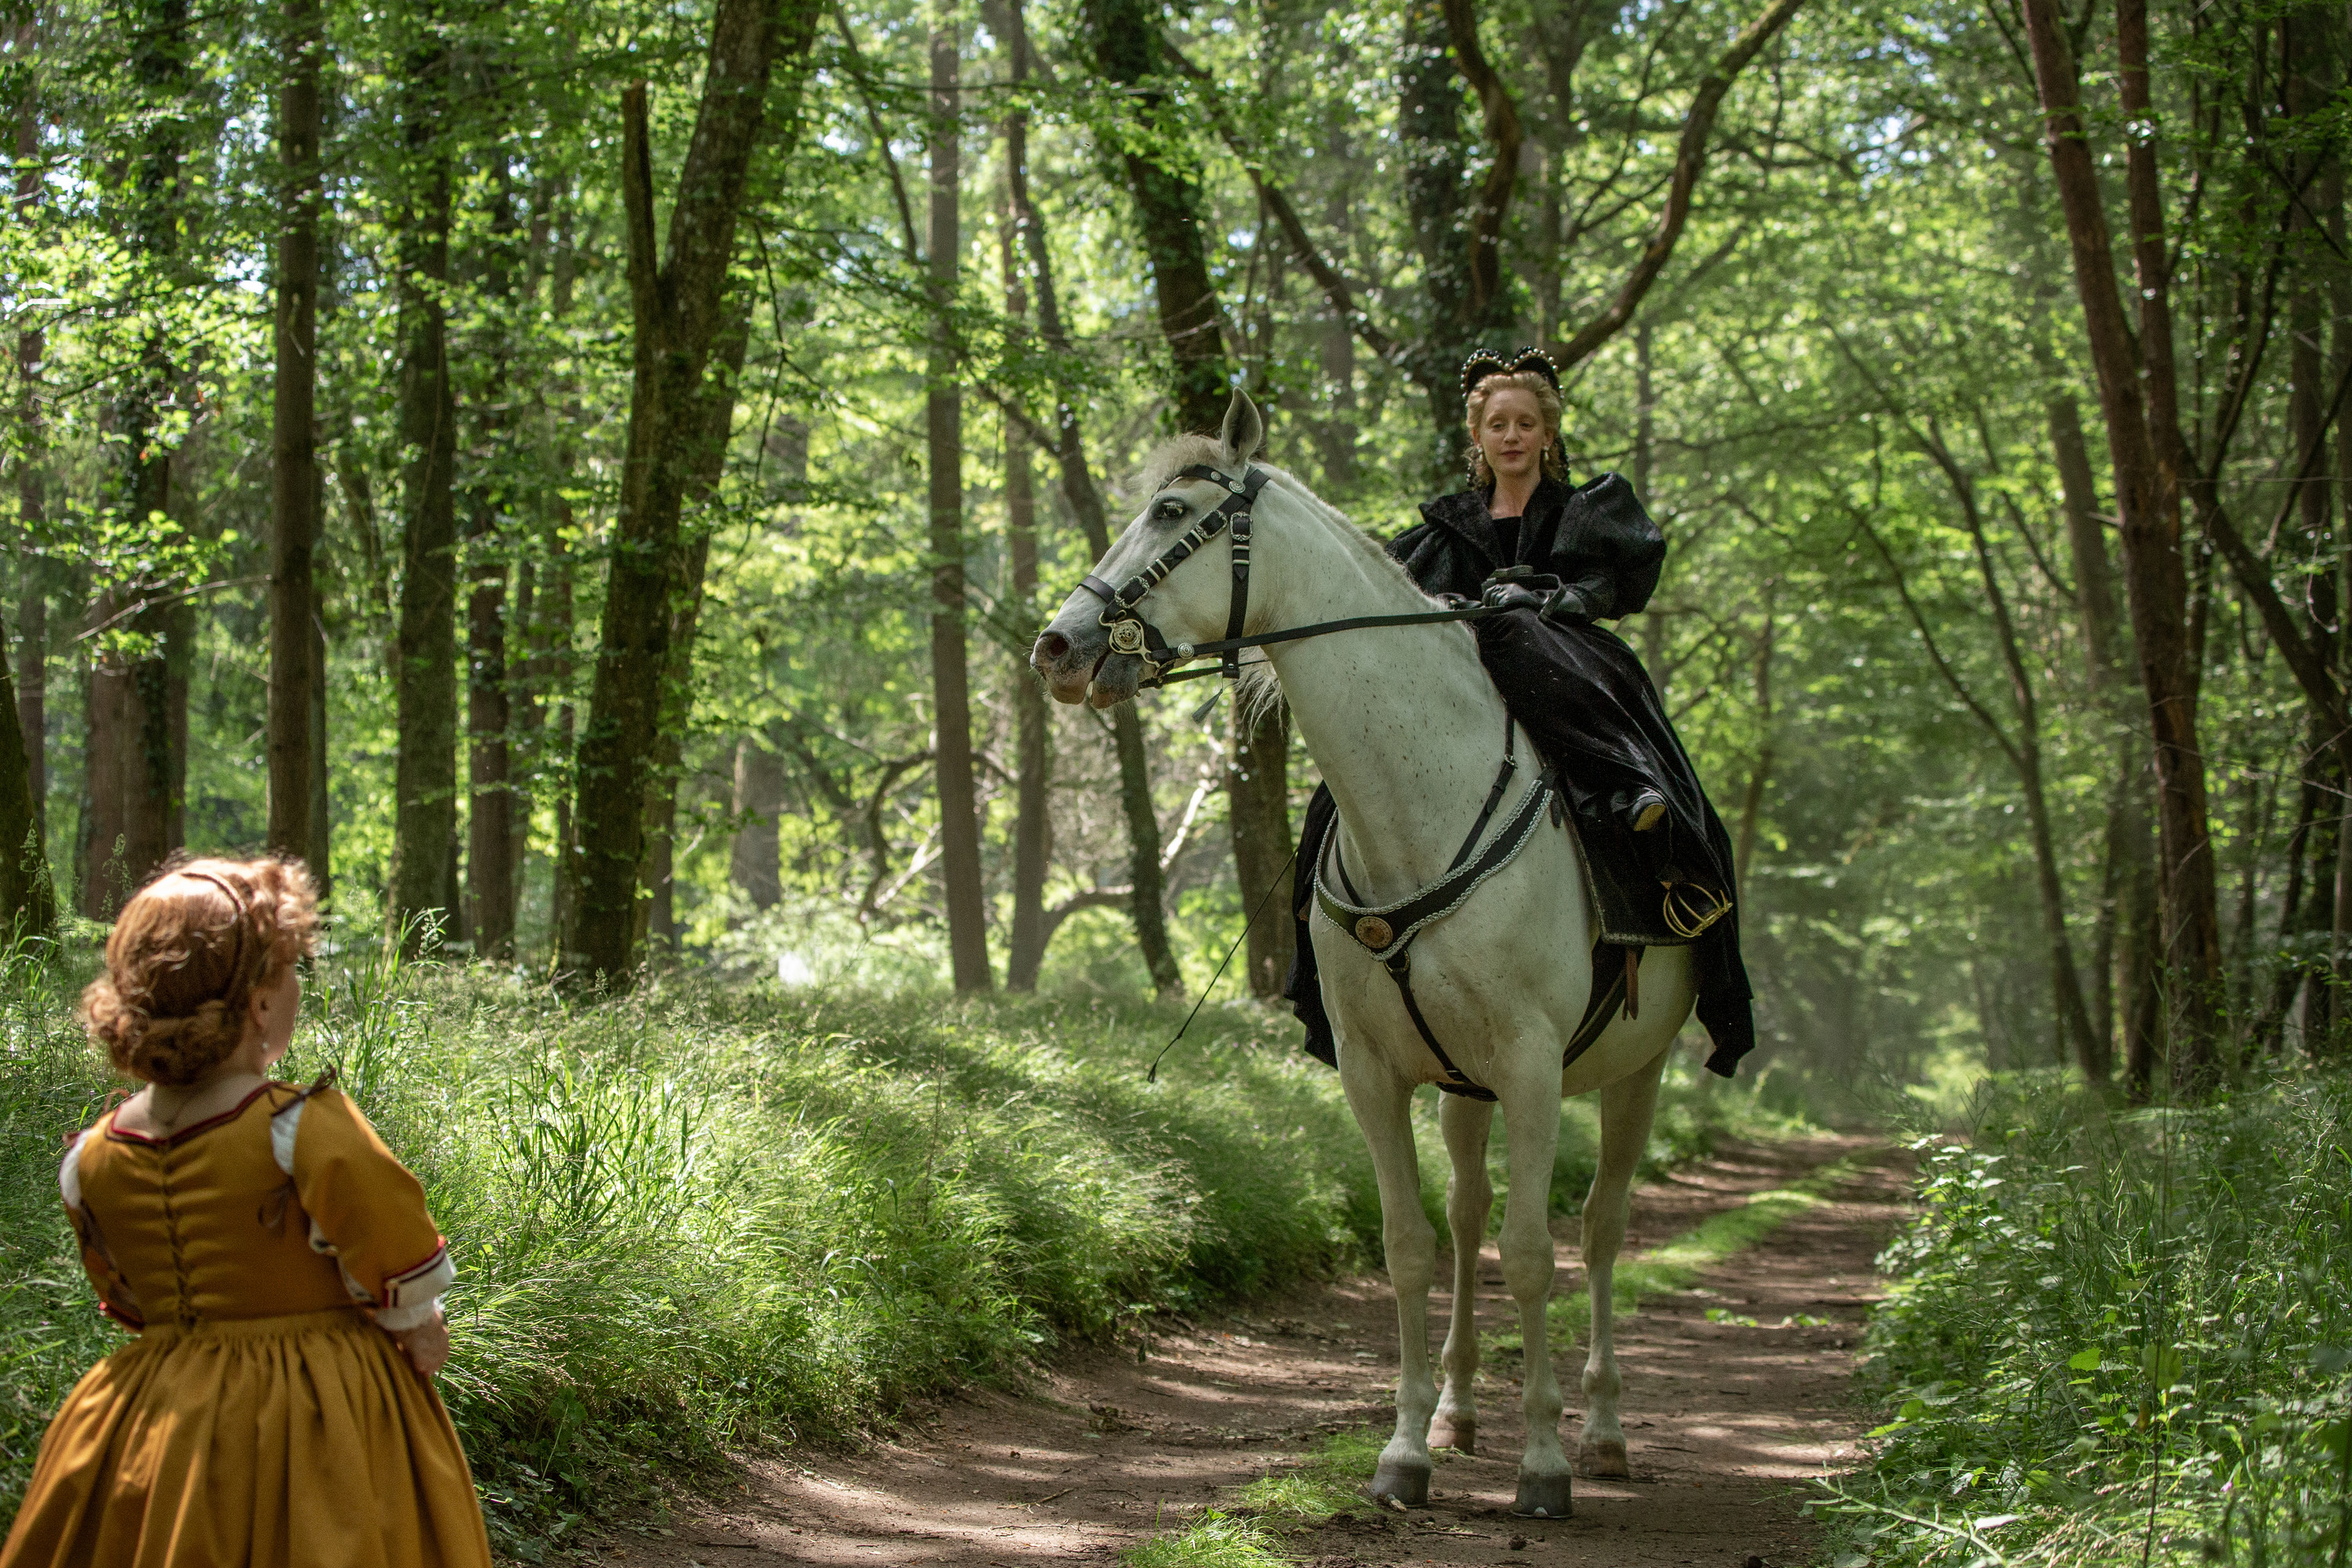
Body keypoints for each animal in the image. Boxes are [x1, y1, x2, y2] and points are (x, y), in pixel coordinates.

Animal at [1030, 392, 1693, 1523]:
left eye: (1172, 512)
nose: (1058, 644)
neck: (1417, 807)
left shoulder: (1532, 1069)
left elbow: (1534, 1253)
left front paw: (1543, 1462)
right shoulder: (1377, 1075)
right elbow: (1412, 1247)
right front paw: (1407, 1450)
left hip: (1634, 1072)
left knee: (1601, 1228)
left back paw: (1602, 1432)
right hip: (1468, 1090)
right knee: (1469, 1219)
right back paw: (1461, 1413)